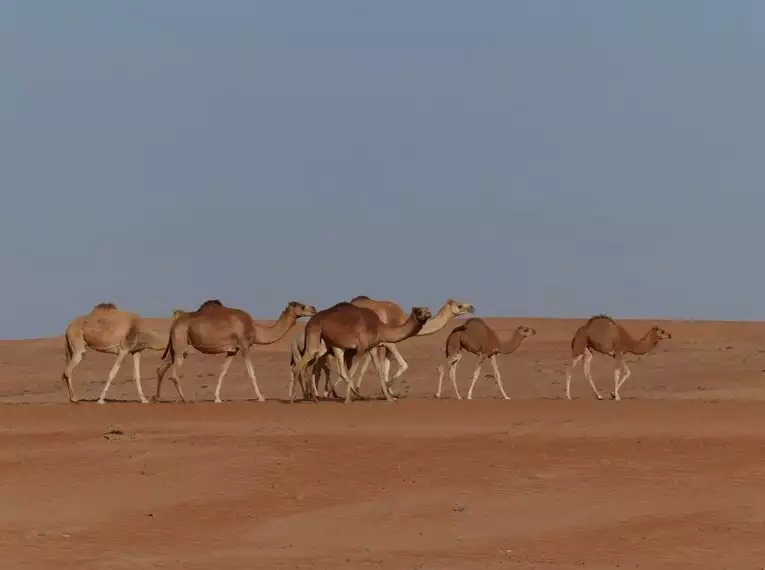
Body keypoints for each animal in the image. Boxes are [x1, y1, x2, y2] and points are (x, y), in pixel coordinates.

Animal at [154, 300, 314, 402]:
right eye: (301, 305)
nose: (313, 308)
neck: (255, 329)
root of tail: (175, 321)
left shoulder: (232, 351)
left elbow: (222, 372)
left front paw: (217, 398)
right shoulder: (244, 345)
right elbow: (251, 372)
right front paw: (261, 397)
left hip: (176, 345)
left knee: (161, 368)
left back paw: (156, 398)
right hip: (181, 342)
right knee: (174, 373)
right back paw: (184, 399)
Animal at [290, 298, 474, 400]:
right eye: (459, 305)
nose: (471, 307)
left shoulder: (378, 346)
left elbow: (383, 366)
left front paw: (388, 392)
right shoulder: (387, 343)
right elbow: (402, 364)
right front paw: (387, 390)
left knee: (317, 367)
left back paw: (321, 394)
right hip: (321, 346)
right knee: (314, 365)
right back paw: (318, 394)